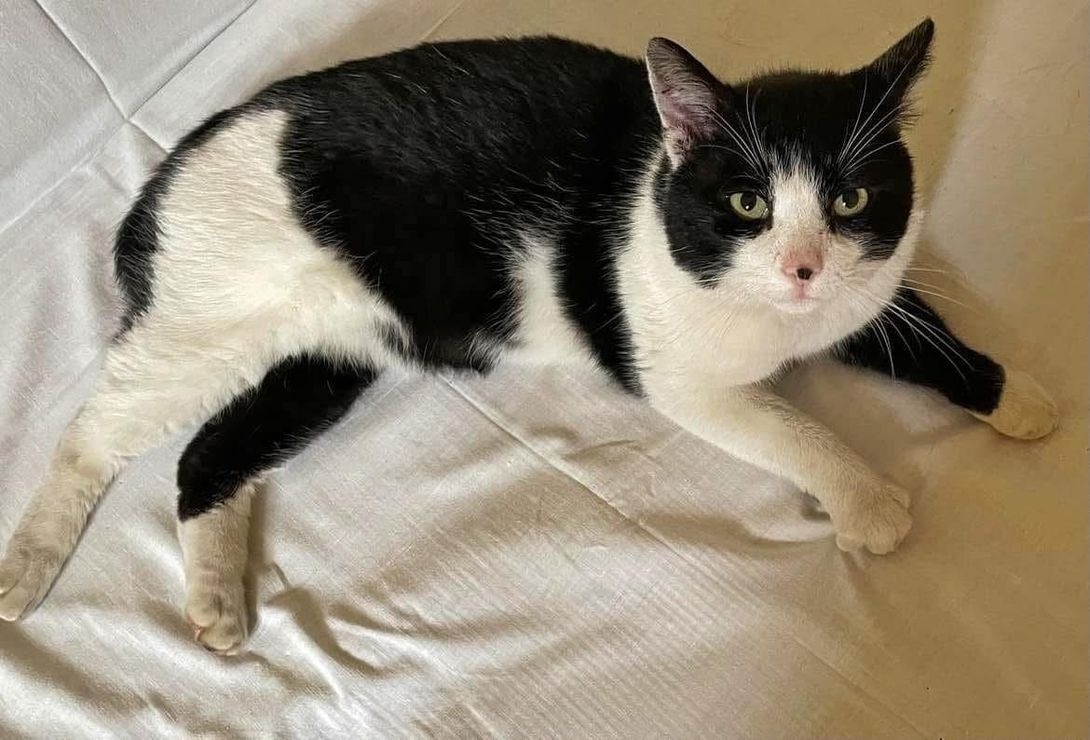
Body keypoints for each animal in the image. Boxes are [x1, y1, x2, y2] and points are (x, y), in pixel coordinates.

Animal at [0, 18, 1058, 654]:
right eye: (748, 203)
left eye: (851, 200)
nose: (802, 267)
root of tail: (165, 173)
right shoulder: (679, 377)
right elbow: (791, 430)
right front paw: (868, 503)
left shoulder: (865, 289)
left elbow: (919, 336)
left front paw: (1019, 398)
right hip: (207, 323)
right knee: (98, 429)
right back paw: (29, 566)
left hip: (332, 354)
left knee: (209, 457)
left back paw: (216, 600)